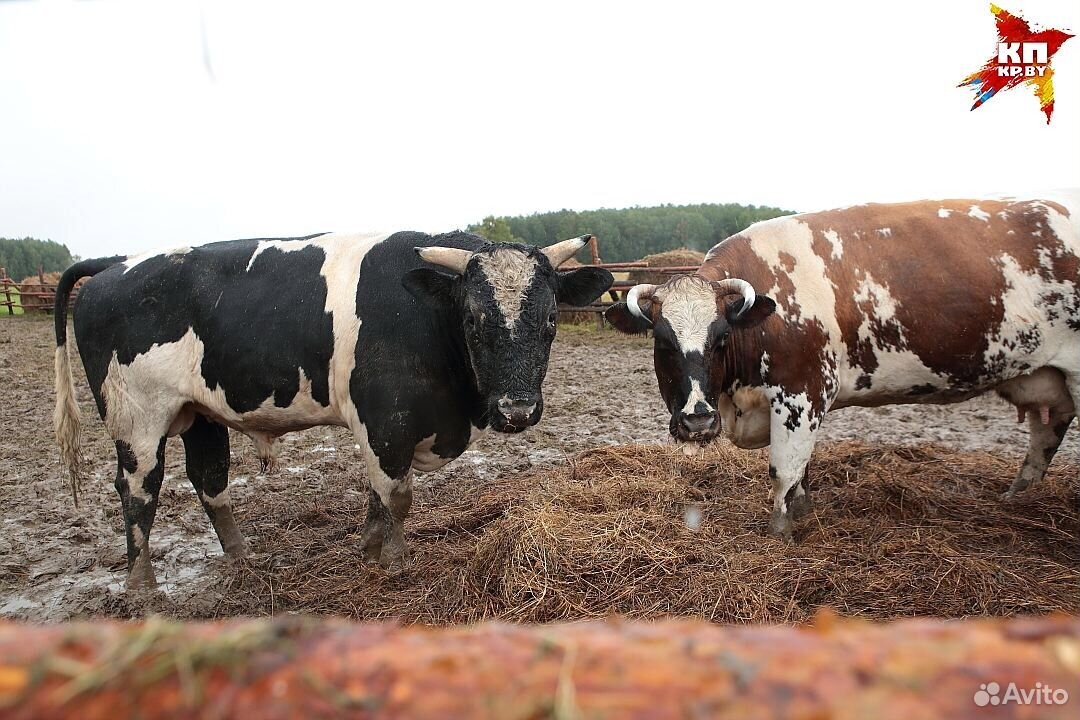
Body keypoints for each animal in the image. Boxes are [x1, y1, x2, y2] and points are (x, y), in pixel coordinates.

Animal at [56, 231, 617, 587]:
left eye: (551, 319)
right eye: (473, 319)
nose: (516, 410)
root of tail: (115, 264)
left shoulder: (389, 427)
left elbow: (379, 492)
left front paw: (369, 549)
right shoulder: (384, 419)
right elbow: (397, 495)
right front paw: (395, 562)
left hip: (200, 414)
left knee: (209, 479)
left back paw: (242, 558)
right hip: (137, 420)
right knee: (138, 492)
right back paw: (142, 584)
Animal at [609, 191, 1080, 539]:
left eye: (721, 337)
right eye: (663, 341)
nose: (698, 422)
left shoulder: (801, 394)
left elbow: (784, 472)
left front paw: (780, 534)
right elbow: (801, 474)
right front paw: (802, 513)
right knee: (1045, 436)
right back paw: (1017, 498)